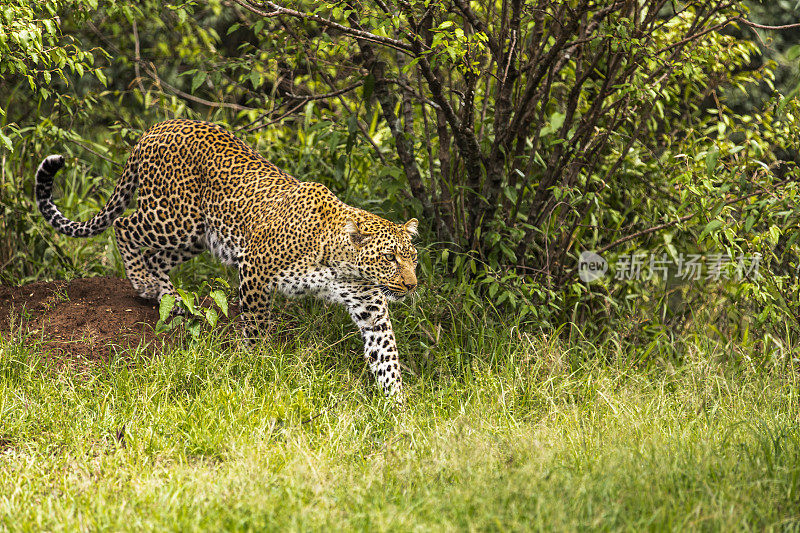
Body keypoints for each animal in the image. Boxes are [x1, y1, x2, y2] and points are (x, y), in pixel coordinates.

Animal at [35, 117, 418, 400]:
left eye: (412, 257)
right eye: (389, 257)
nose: (412, 285)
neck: (341, 264)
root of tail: (158, 127)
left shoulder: (370, 304)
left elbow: (386, 353)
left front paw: (397, 406)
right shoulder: (256, 272)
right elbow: (256, 326)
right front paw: (256, 366)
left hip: (196, 235)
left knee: (156, 258)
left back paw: (170, 299)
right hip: (174, 218)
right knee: (123, 224)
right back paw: (143, 284)